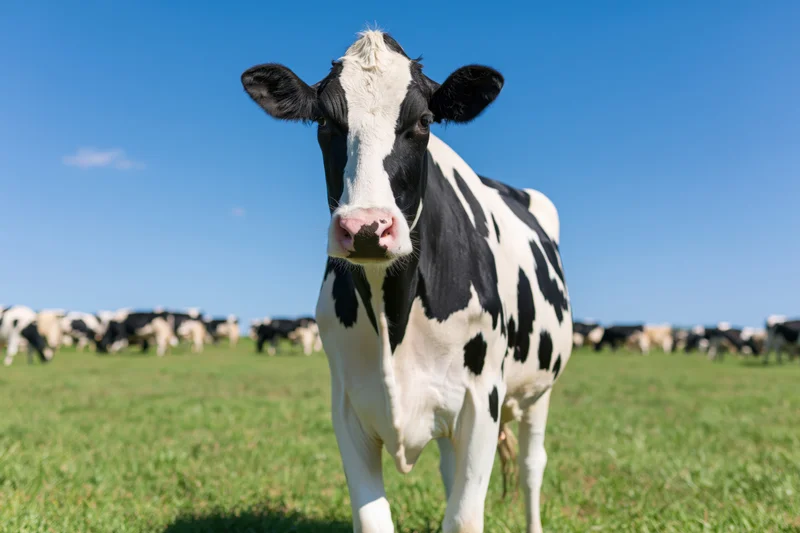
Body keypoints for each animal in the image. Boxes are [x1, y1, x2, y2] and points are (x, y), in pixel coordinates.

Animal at [241, 30, 572, 533]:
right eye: (324, 121)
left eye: (423, 120)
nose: (366, 227)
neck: (392, 315)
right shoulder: (349, 407)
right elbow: (376, 520)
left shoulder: (482, 401)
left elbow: (464, 518)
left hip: (538, 390)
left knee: (533, 467)